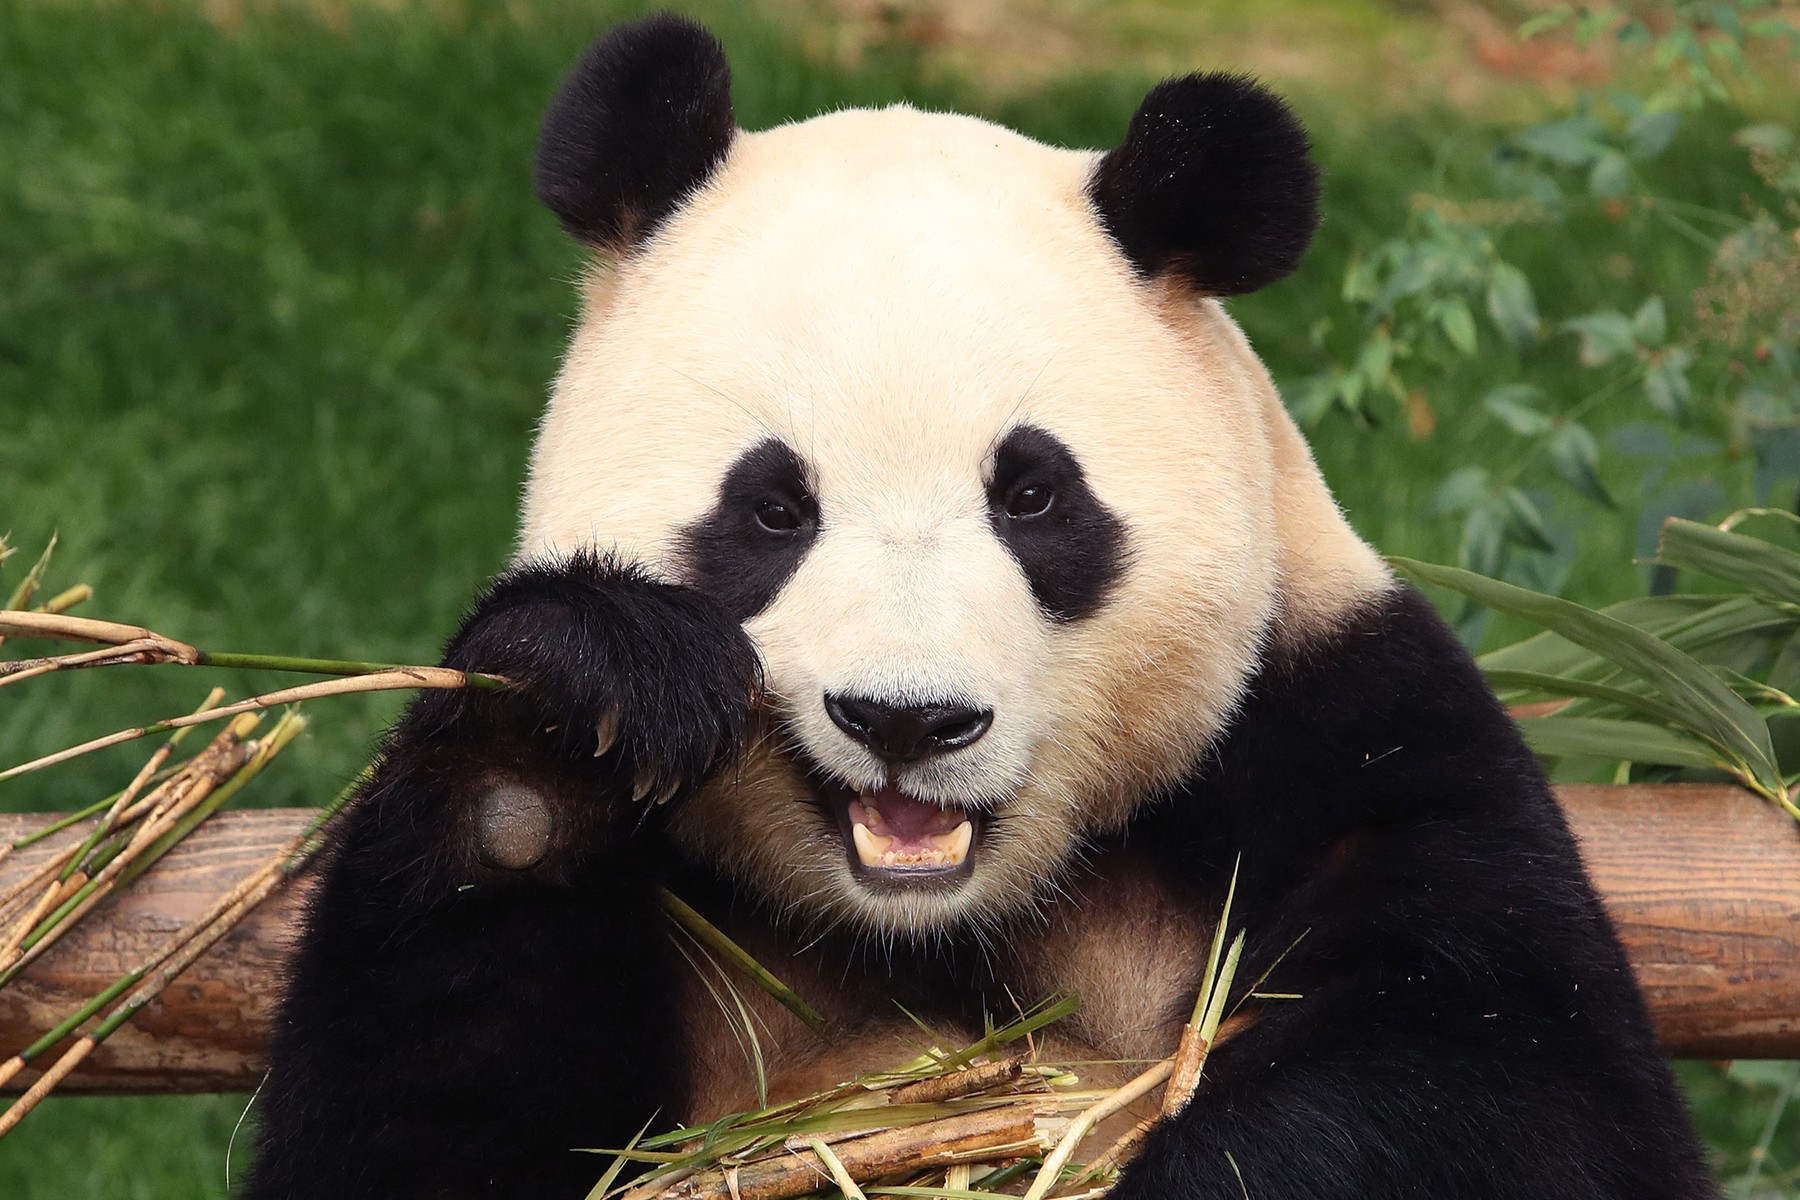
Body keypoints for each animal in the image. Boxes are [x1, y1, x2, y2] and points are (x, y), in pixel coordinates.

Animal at [246, 13, 1715, 1200]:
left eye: (1033, 497)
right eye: (773, 510)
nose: (908, 721)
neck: (933, 926)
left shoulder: (1342, 733)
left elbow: (1511, 1082)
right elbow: (416, 1126)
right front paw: (572, 715)